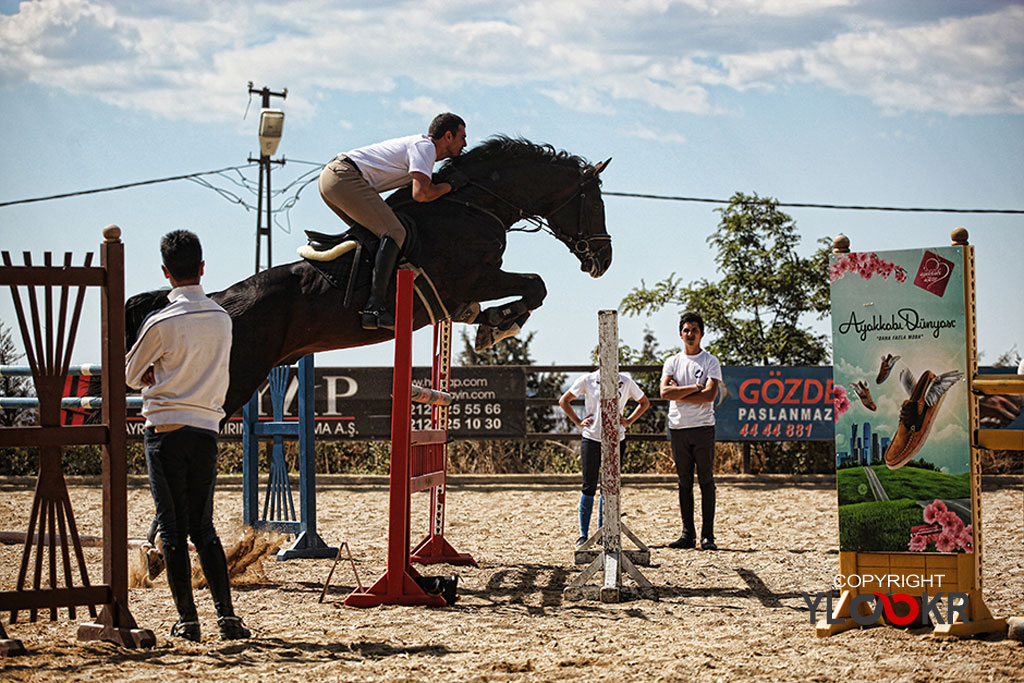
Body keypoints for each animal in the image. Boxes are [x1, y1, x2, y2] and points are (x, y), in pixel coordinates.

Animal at [126, 136, 606, 419]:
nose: (603, 259)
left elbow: (523, 291)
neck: (472, 206)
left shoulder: (462, 293)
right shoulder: (474, 278)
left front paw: (491, 324)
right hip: (234, 379)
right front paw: (500, 325)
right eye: (595, 203)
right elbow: (535, 284)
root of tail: (222, 298)